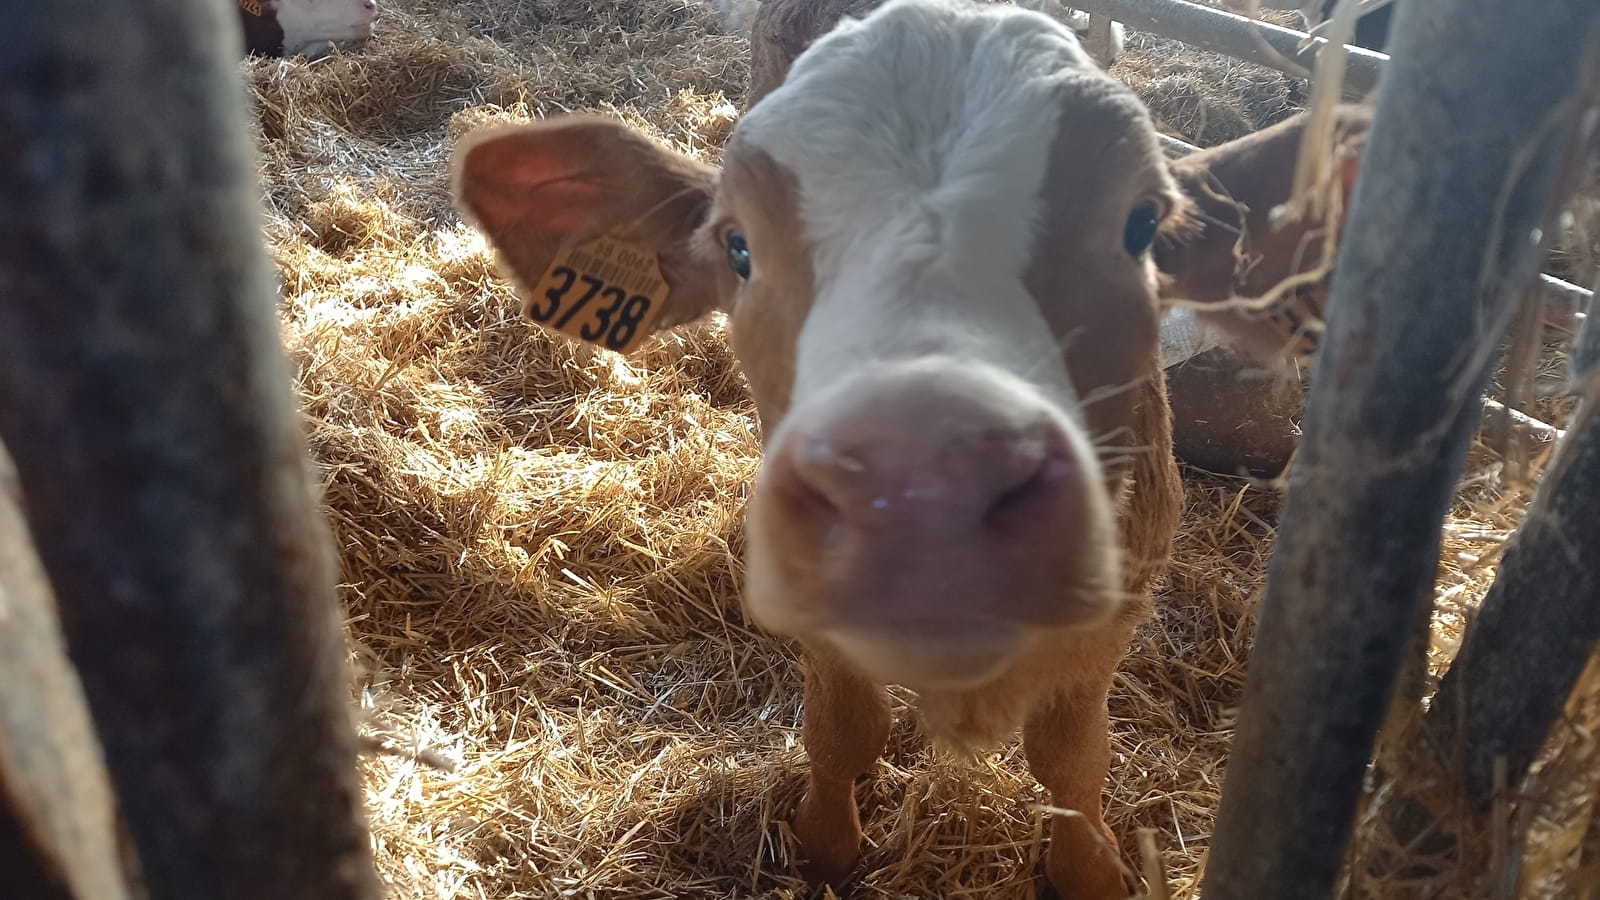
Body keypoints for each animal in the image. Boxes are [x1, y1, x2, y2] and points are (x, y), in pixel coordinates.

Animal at [457, 0, 1369, 890]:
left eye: (1141, 225)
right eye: (737, 247)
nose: (925, 490)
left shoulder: (1117, 608)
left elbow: (1073, 760)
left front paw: (1091, 871)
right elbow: (842, 728)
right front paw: (827, 847)